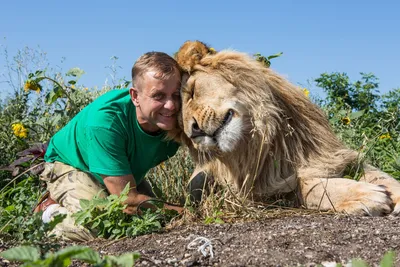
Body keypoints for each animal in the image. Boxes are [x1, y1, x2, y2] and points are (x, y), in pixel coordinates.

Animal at [170, 40, 400, 217]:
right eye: (182, 125)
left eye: (192, 91)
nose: (194, 131)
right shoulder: (264, 193)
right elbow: (310, 186)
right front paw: (364, 196)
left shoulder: (336, 157)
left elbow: (382, 176)